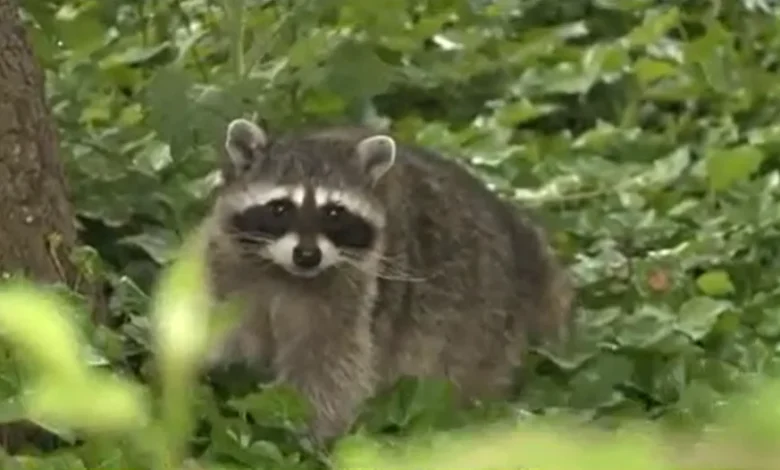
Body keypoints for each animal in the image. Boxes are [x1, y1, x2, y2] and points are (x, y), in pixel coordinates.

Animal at [201, 118, 573, 441]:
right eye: (280, 209)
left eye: (333, 213)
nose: (307, 255)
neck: (284, 273)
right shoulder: (224, 270)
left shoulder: (352, 293)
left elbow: (329, 368)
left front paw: (304, 433)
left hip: (486, 326)